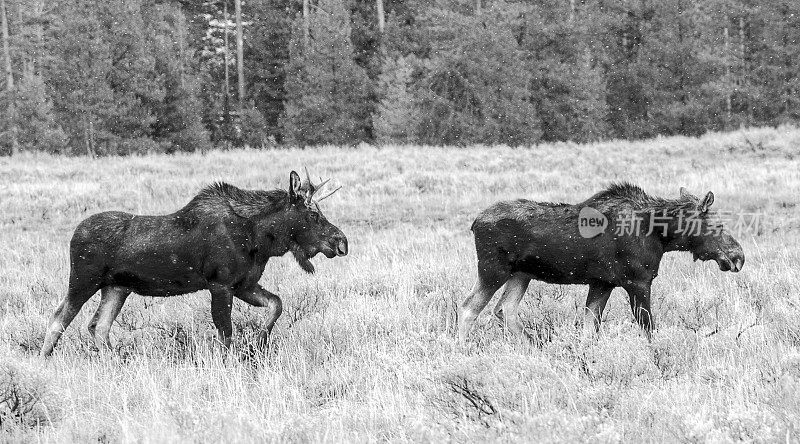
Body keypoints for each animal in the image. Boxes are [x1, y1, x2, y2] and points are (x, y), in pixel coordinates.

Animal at [39, 170, 346, 358]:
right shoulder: (221, 284)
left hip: (117, 287)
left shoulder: (244, 284)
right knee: (59, 318)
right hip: (83, 280)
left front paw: (257, 344)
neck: (261, 239)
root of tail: (74, 233)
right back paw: (44, 361)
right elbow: (225, 334)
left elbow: (276, 305)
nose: (341, 241)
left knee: (98, 326)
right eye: (313, 214)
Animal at [460, 183, 748, 340]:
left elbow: (589, 330)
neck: (661, 234)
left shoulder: (602, 283)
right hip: (493, 270)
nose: (738, 256)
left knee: (504, 309)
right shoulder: (638, 282)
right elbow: (649, 330)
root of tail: (474, 223)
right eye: (718, 224)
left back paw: (535, 345)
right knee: (468, 308)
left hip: (522, 274)